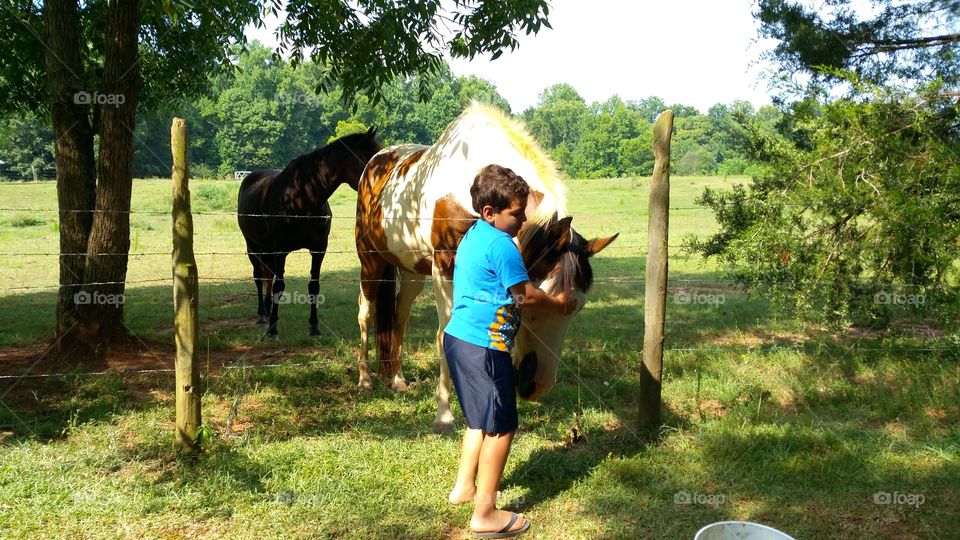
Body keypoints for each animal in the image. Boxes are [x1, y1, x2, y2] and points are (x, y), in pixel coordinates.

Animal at [238, 127, 382, 338]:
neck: (302, 197)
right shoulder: (280, 250)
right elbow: (279, 286)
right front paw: (273, 329)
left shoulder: (318, 248)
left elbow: (314, 285)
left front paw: (314, 327)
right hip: (253, 246)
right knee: (258, 276)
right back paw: (263, 316)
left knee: (266, 276)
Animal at [354, 103, 618, 433]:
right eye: (531, 305)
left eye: (578, 307)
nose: (535, 387)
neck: (468, 184)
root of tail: (376, 162)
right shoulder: (444, 269)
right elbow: (445, 334)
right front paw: (444, 415)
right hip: (370, 260)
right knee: (365, 310)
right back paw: (364, 381)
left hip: (411, 270)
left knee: (400, 315)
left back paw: (398, 380)